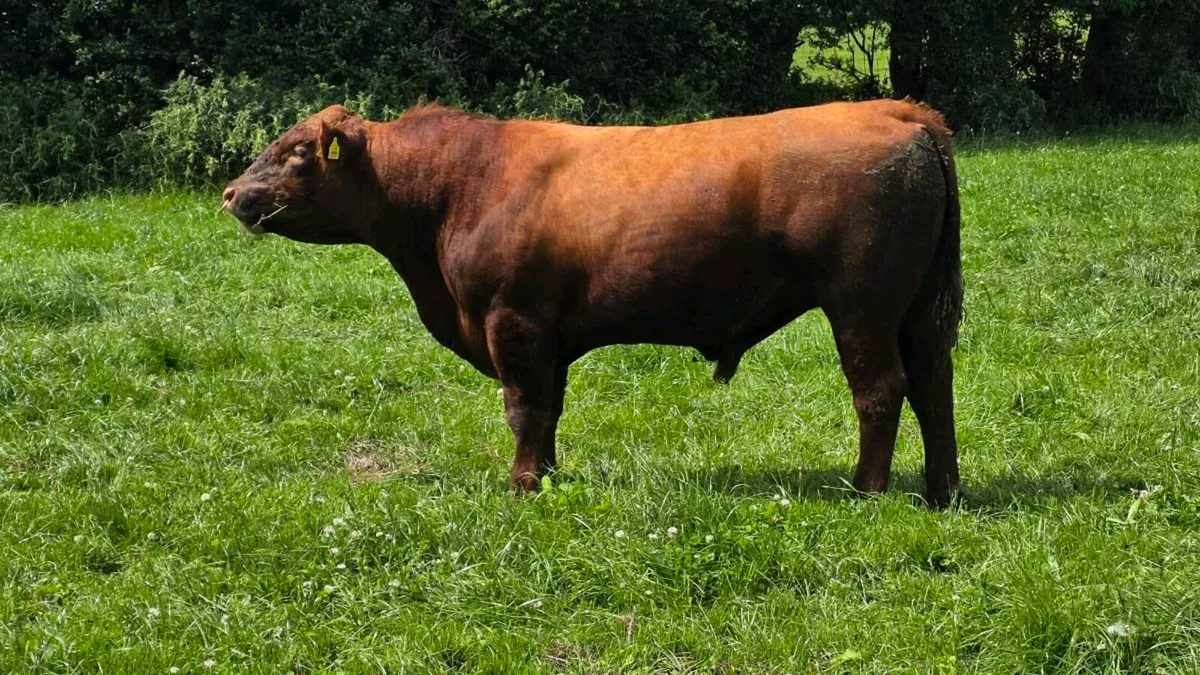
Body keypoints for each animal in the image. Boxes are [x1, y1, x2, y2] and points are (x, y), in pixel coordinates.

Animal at [222, 99, 964, 506]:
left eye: (295, 153)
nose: (232, 193)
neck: (454, 188)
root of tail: (895, 109)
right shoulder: (548, 334)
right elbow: (548, 408)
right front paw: (547, 475)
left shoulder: (512, 320)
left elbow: (523, 407)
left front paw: (522, 484)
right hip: (919, 309)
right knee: (933, 387)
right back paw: (942, 489)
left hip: (861, 305)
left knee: (880, 390)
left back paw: (865, 490)